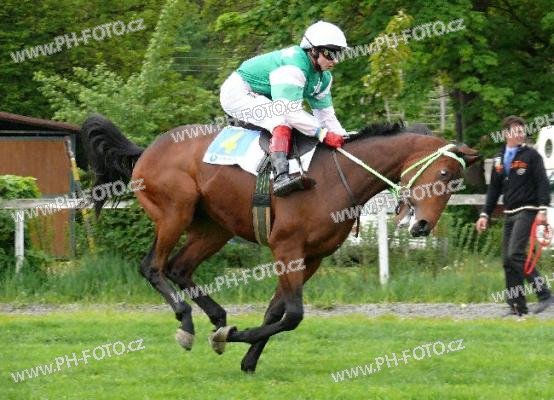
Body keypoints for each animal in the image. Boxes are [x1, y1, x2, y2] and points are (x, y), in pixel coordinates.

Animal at [81, 115, 480, 372]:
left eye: (455, 183)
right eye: (443, 172)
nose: (423, 226)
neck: (338, 177)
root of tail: (146, 150)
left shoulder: (312, 257)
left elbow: (278, 313)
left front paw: (244, 354)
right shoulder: (287, 250)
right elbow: (294, 315)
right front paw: (235, 336)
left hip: (213, 228)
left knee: (180, 267)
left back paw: (216, 316)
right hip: (174, 212)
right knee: (153, 266)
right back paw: (187, 323)